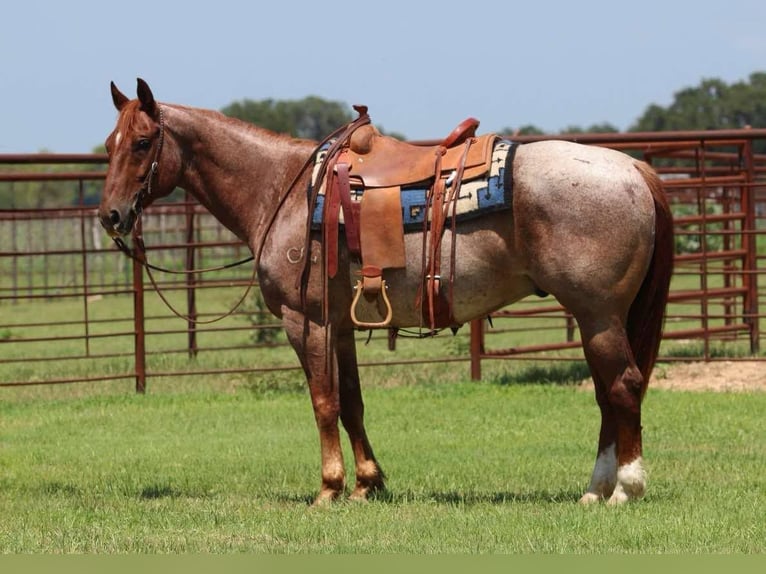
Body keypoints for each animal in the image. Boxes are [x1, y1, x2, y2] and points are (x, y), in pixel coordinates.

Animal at [98, 78, 673, 505]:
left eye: (144, 143)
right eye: (109, 145)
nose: (111, 215)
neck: (283, 188)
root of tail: (632, 167)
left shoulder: (304, 320)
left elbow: (323, 401)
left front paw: (329, 489)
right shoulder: (340, 324)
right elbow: (352, 400)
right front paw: (367, 484)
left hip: (598, 315)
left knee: (622, 386)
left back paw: (625, 489)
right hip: (599, 318)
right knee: (607, 393)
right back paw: (595, 490)